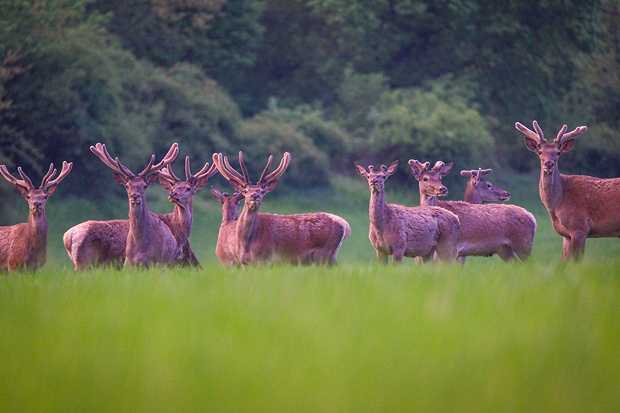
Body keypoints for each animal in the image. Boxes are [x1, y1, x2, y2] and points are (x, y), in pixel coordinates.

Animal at [212, 151, 348, 268]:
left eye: (262, 191)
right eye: (245, 191)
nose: (254, 196)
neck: (246, 243)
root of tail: (345, 225)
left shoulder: (266, 259)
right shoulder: (244, 263)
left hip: (325, 253)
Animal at [512, 120, 620, 260]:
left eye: (558, 152)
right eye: (540, 152)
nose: (549, 163)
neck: (559, 203)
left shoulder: (580, 227)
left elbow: (578, 260)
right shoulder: (566, 234)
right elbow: (564, 262)